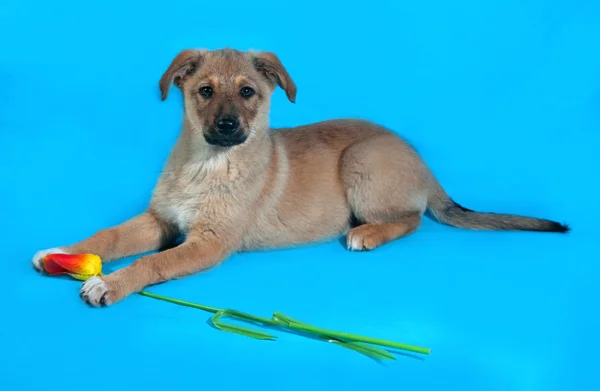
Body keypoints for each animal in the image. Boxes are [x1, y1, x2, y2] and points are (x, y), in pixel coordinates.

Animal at [30, 48, 568, 306]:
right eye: (204, 91)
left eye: (248, 92)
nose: (228, 126)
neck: (207, 162)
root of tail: (425, 165)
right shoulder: (159, 220)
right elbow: (110, 235)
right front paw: (67, 252)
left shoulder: (208, 243)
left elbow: (151, 263)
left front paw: (109, 284)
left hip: (363, 163)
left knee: (412, 218)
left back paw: (367, 234)